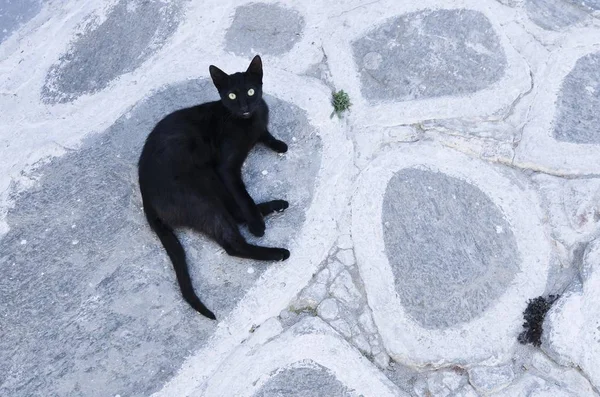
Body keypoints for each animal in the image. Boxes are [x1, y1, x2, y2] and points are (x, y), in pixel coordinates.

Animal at [139, 55, 292, 320]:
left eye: (251, 91)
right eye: (231, 95)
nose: (244, 106)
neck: (247, 123)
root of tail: (144, 194)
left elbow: (265, 133)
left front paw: (278, 144)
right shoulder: (226, 169)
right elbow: (244, 197)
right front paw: (257, 226)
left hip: (212, 184)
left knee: (236, 215)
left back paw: (277, 205)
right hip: (204, 196)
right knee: (233, 242)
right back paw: (276, 251)